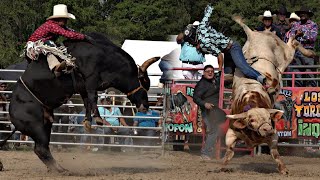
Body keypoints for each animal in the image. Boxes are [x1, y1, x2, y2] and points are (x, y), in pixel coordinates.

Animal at [0, 33, 159, 172]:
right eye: (145, 82)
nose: (146, 106)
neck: (104, 55)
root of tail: (11, 113)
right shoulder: (91, 79)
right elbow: (92, 97)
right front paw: (98, 119)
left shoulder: (83, 87)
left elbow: (87, 101)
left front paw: (88, 121)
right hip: (37, 126)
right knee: (41, 149)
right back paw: (60, 169)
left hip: (46, 124)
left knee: (42, 148)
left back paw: (57, 168)